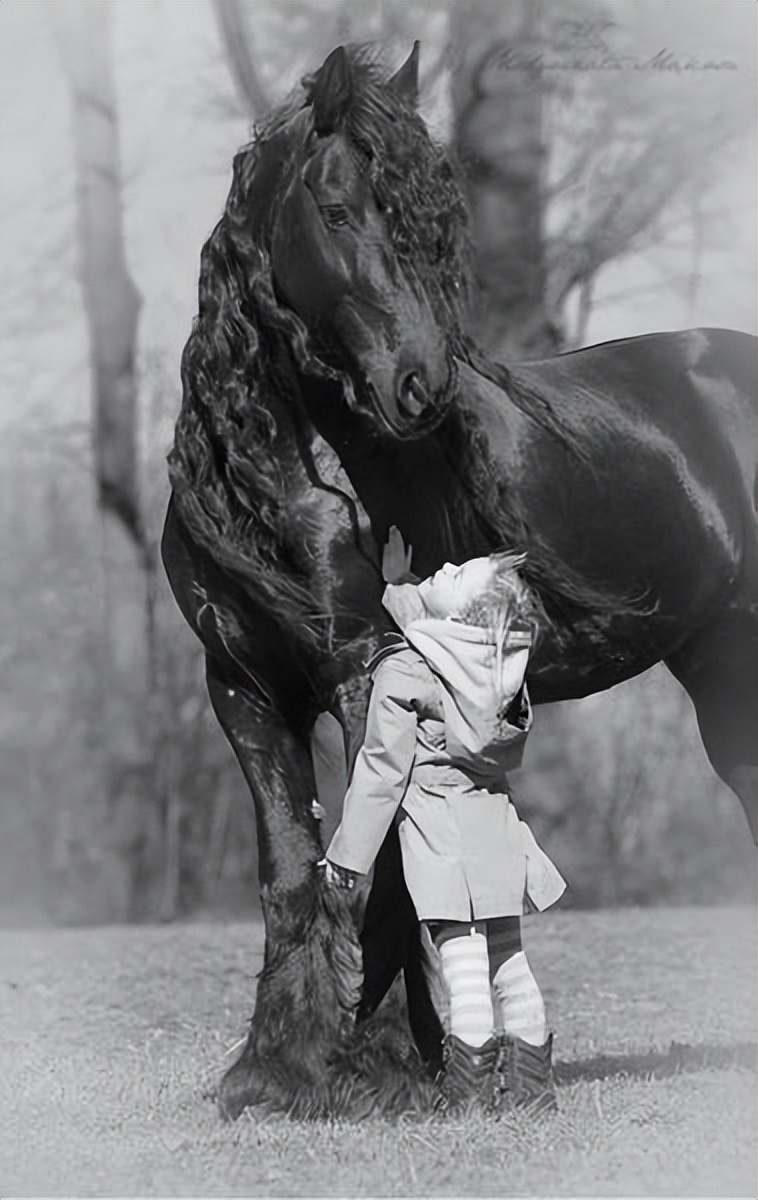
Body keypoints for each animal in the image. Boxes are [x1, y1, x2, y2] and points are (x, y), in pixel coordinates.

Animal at [165, 44, 758, 1113]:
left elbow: (386, 870)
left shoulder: (366, 673)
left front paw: (383, 1064)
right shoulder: (242, 688)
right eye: (336, 208)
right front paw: (271, 1069)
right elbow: (290, 873)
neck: (293, 480)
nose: (423, 386)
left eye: (433, 224)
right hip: (722, 665)